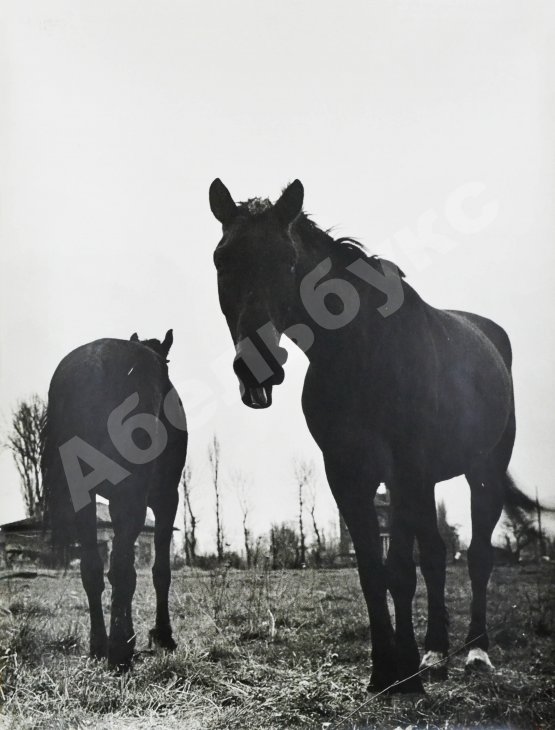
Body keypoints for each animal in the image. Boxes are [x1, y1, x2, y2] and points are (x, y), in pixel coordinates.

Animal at [42, 330, 187, 669]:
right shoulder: (167, 499)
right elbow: (160, 570)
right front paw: (162, 635)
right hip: (131, 493)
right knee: (121, 567)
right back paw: (120, 650)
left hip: (84, 499)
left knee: (92, 569)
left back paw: (99, 645)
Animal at [209, 178, 537, 693]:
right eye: (222, 259)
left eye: (287, 259)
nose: (257, 368)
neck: (361, 351)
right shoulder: (347, 474)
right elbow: (371, 572)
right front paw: (386, 669)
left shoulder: (402, 470)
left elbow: (399, 569)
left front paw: (404, 675)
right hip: (428, 481)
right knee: (437, 556)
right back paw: (436, 654)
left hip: (481, 472)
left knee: (478, 556)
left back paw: (476, 653)